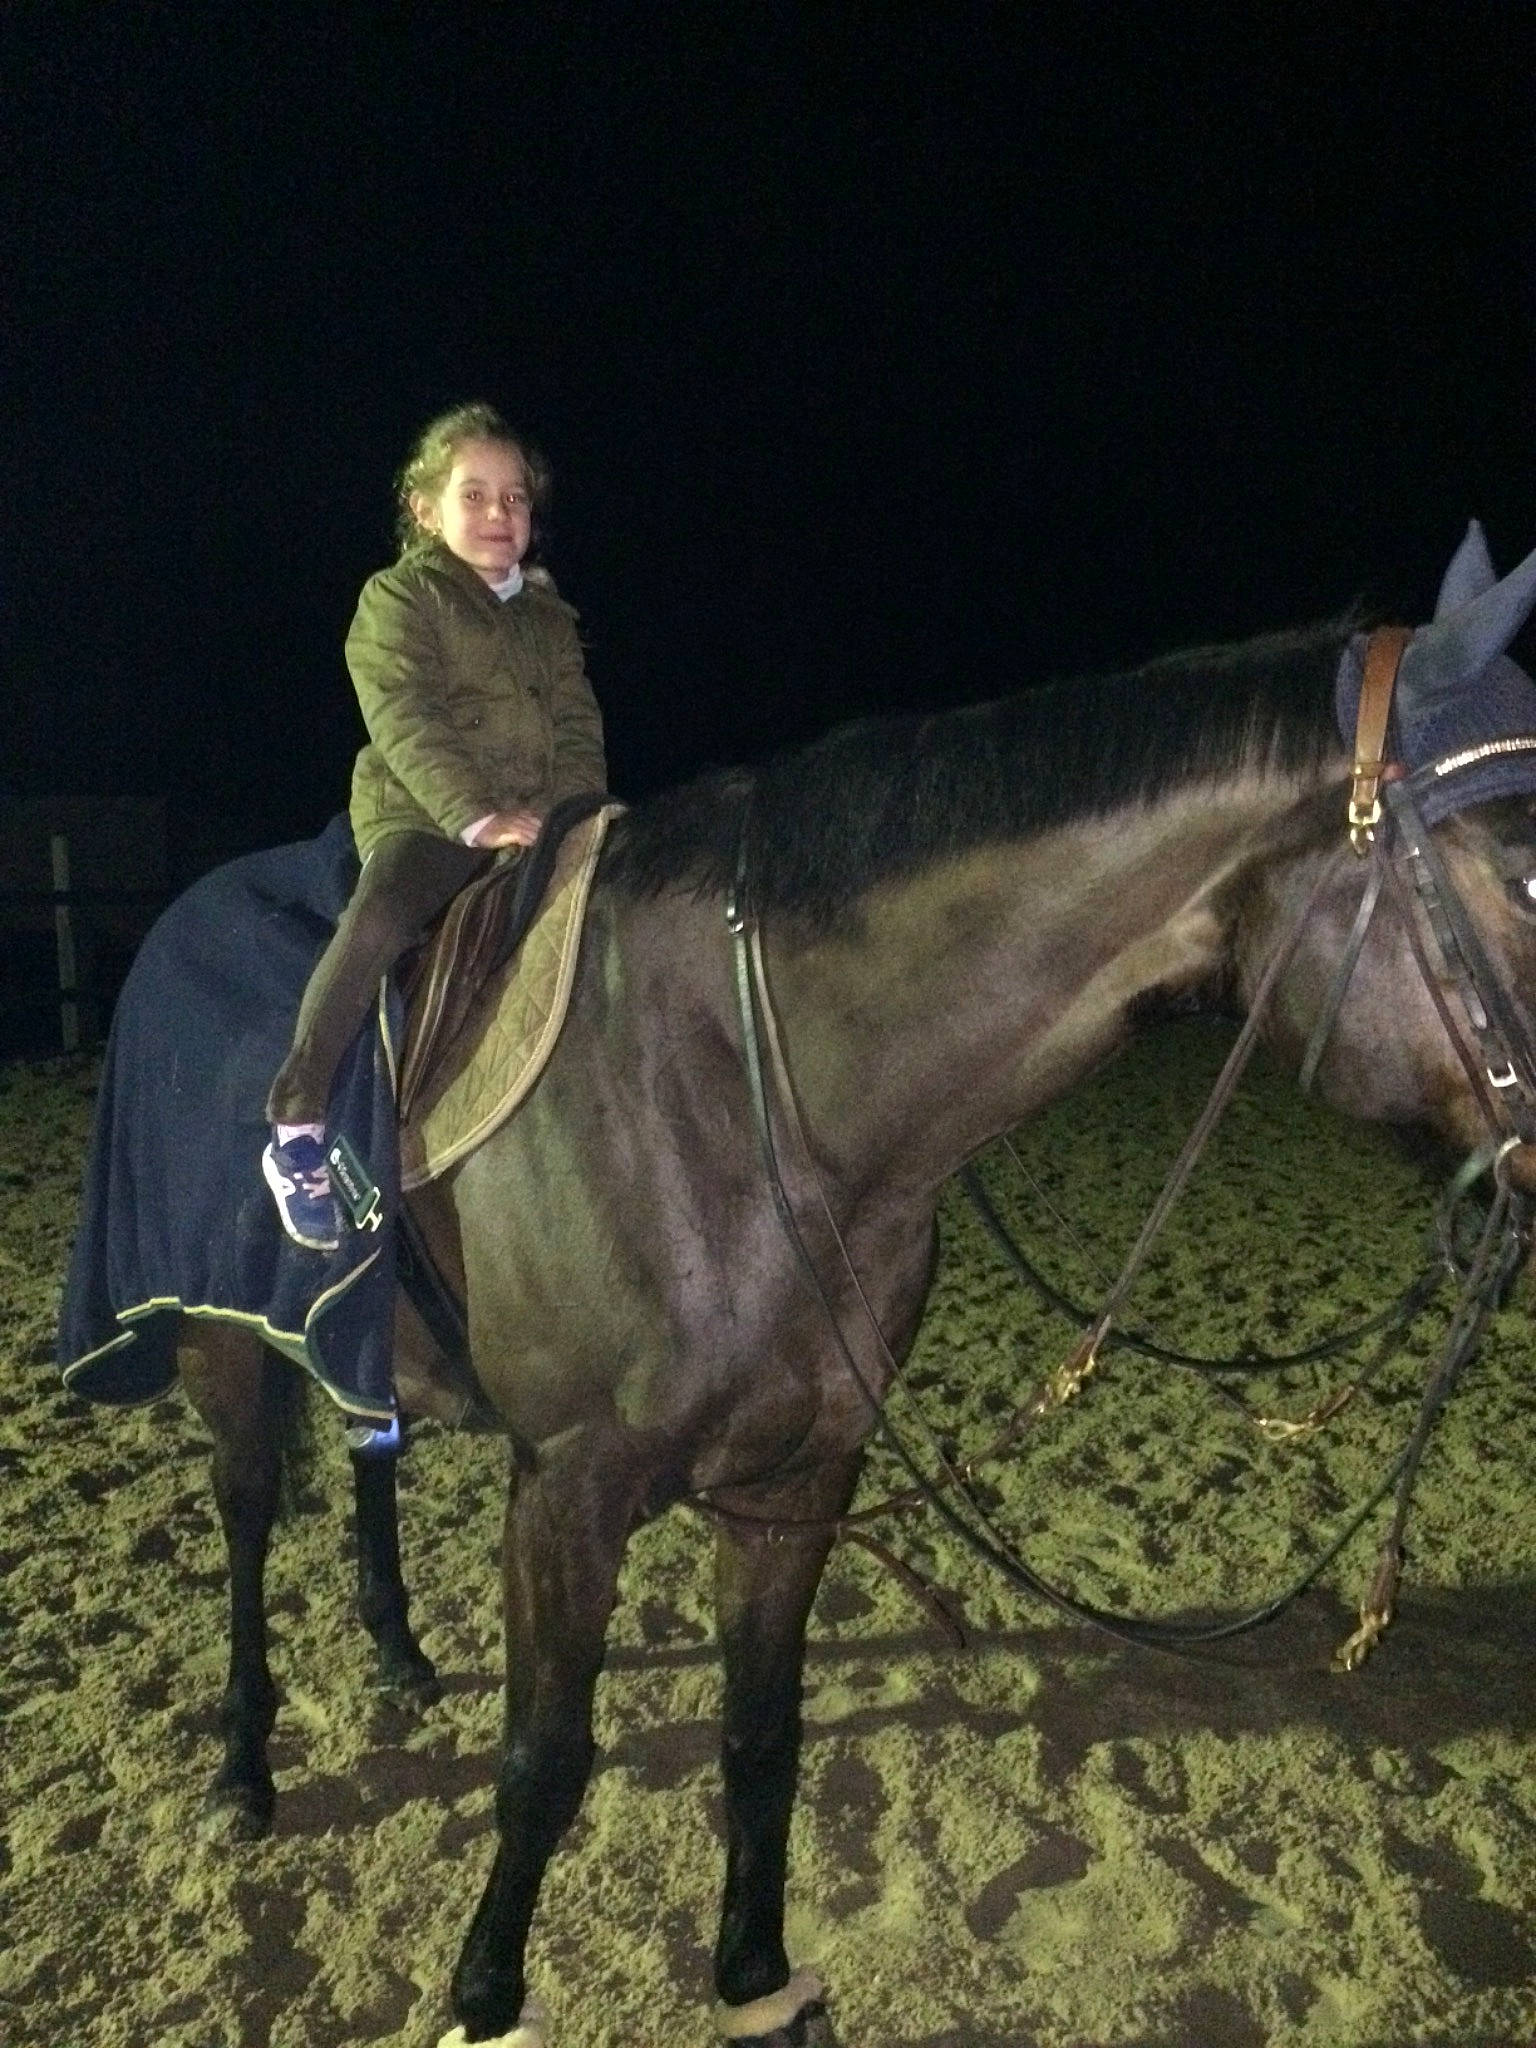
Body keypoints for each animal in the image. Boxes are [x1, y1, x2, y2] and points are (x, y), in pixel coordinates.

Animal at [144, 529, 1536, 2045]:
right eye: (1525, 872)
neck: (747, 1084)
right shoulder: (568, 1487)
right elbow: (544, 1757)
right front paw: (485, 1993)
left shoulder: (802, 1472)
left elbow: (764, 1732)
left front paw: (755, 1977)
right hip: (221, 1346)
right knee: (246, 1514)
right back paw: (239, 1771)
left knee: (369, 1443)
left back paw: (396, 1655)